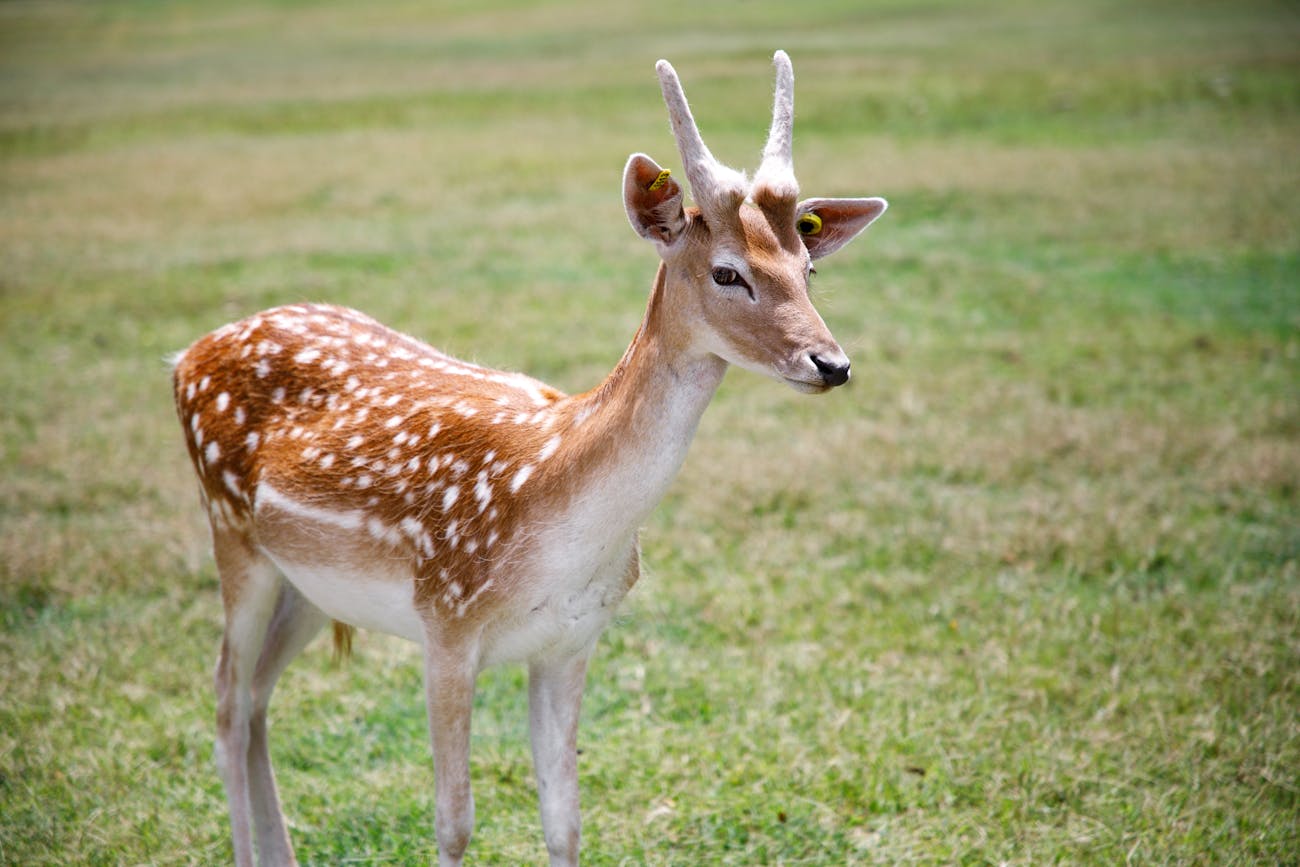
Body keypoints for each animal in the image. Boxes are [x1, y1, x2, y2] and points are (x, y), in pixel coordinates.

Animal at [170, 51, 883, 863]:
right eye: (727, 271)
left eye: (807, 267)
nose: (831, 363)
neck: (560, 520)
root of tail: (183, 357)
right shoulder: (445, 622)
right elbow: (453, 820)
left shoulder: (571, 640)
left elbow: (565, 819)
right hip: (234, 538)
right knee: (227, 700)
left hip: (309, 587)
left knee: (259, 696)